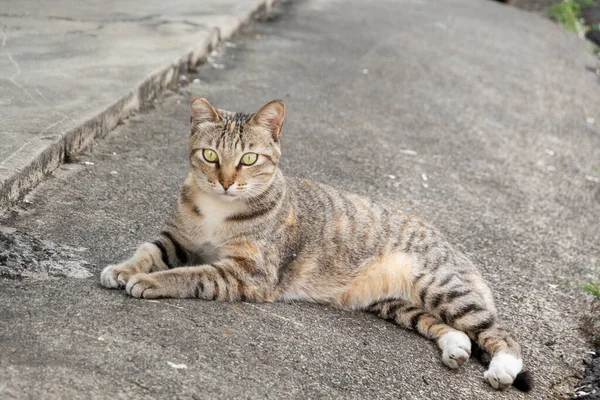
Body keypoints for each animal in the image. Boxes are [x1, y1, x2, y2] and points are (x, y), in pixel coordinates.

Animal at [101, 98, 532, 392]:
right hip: (394, 303)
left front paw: (152, 282)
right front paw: (123, 268)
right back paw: (455, 346)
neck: (218, 210)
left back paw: (502, 367)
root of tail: (455, 247)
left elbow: (191, 273)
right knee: (450, 328)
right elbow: (148, 251)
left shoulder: (249, 273)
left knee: (501, 333)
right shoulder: (177, 238)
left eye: (249, 159)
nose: (224, 181)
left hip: (439, 285)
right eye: (210, 155)